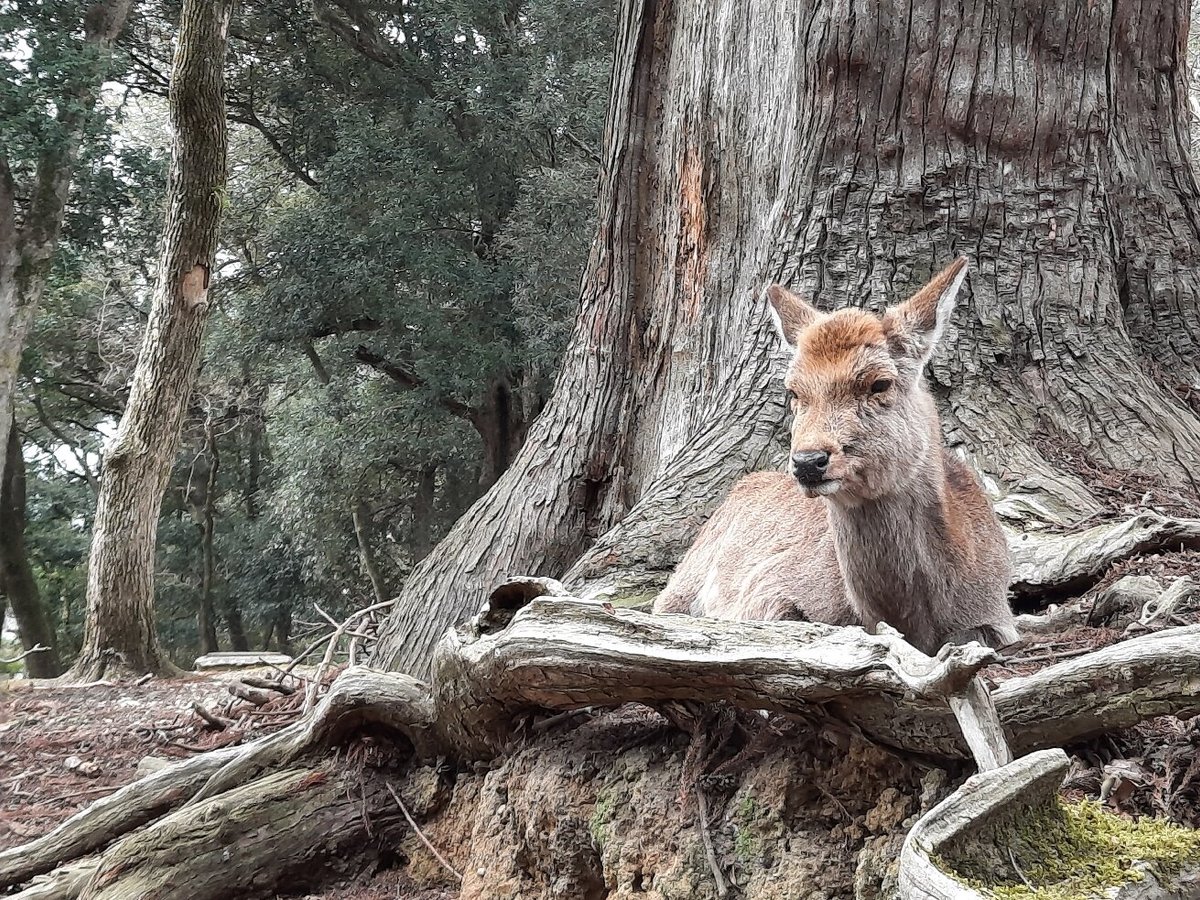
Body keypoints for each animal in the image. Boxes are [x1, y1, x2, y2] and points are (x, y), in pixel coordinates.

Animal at [652, 254, 1017, 657]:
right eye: (793, 391)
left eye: (880, 383)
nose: (808, 461)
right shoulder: (765, 588)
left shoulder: (999, 614)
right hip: (683, 582)